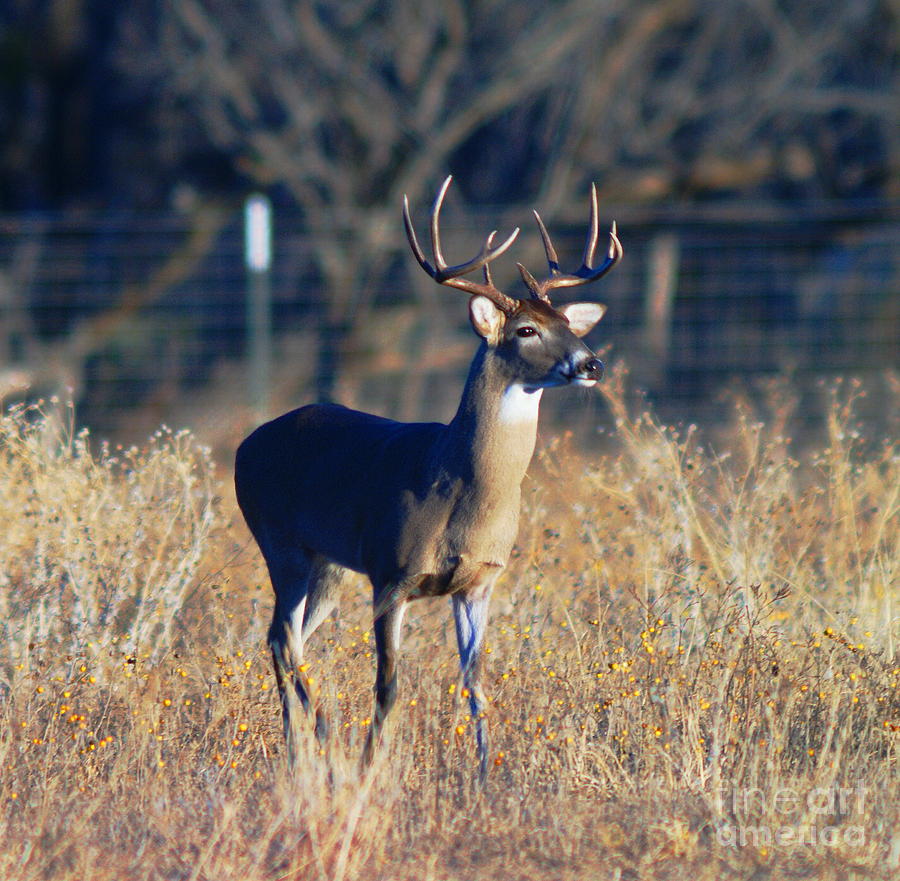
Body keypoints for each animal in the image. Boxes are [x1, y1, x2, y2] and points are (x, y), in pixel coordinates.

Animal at [236, 177, 624, 776]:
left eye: (567, 324)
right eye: (526, 329)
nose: (590, 364)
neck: (458, 487)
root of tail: (245, 444)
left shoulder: (480, 583)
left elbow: (477, 688)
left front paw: (487, 775)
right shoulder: (390, 574)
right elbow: (388, 687)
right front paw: (369, 769)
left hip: (329, 564)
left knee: (286, 639)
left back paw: (300, 752)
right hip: (281, 543)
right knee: (283, 638)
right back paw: (322, 744)